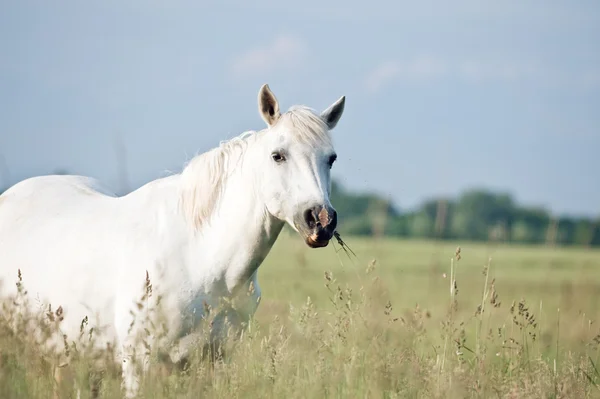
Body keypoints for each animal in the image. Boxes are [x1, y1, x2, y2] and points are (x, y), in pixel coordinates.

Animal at [0, 84, 344, 396]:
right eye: (278, 156)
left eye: (331, 158)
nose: (321, 221)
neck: (200, 258)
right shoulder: (138, 365)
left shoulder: (214, 362)